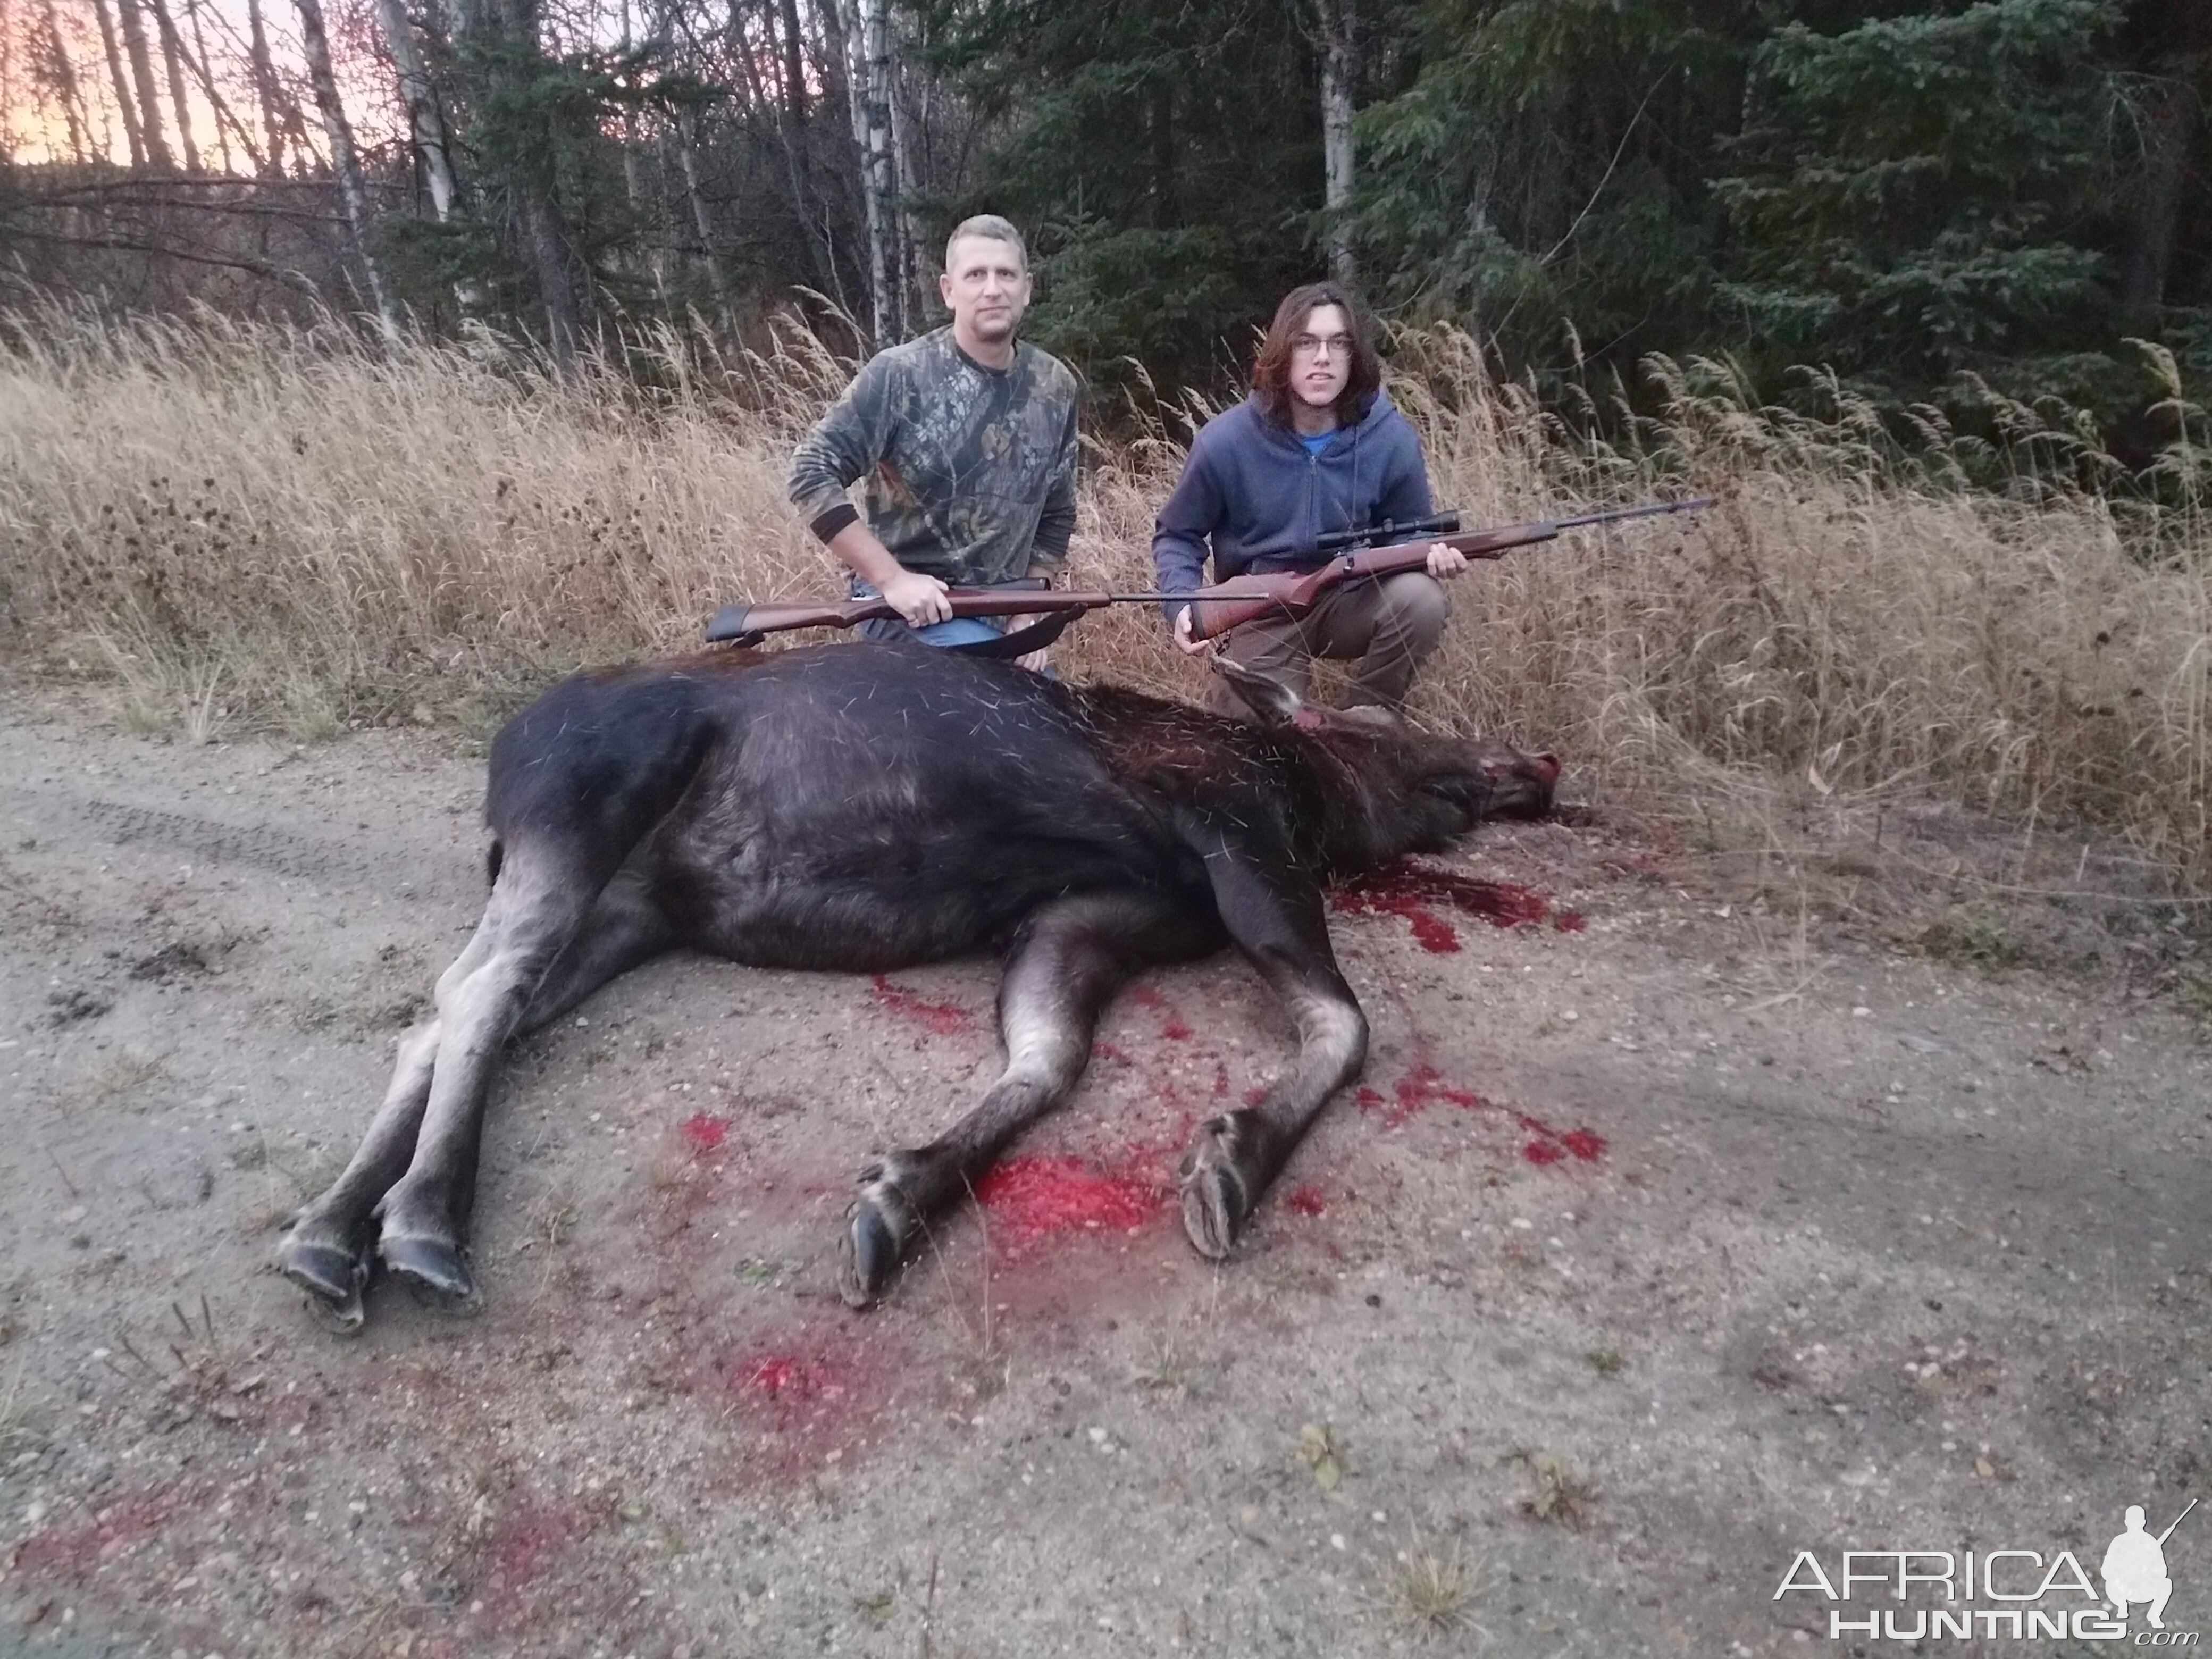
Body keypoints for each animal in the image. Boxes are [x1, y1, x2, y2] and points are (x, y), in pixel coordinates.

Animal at [276, 641, 1557, 1336]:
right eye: (1396, 729)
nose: (1533, 764)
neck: (1318, 803)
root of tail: (506, 742)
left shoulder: (1086, 917)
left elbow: (1046, 1059)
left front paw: (904, 1195)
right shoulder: (1237, 832)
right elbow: (1344, 1019)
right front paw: (1232, 1161)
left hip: (630, 910)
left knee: (449, 1014)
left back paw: (332, 1231)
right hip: (583, 805)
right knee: (478, 988)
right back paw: (420, 1220)